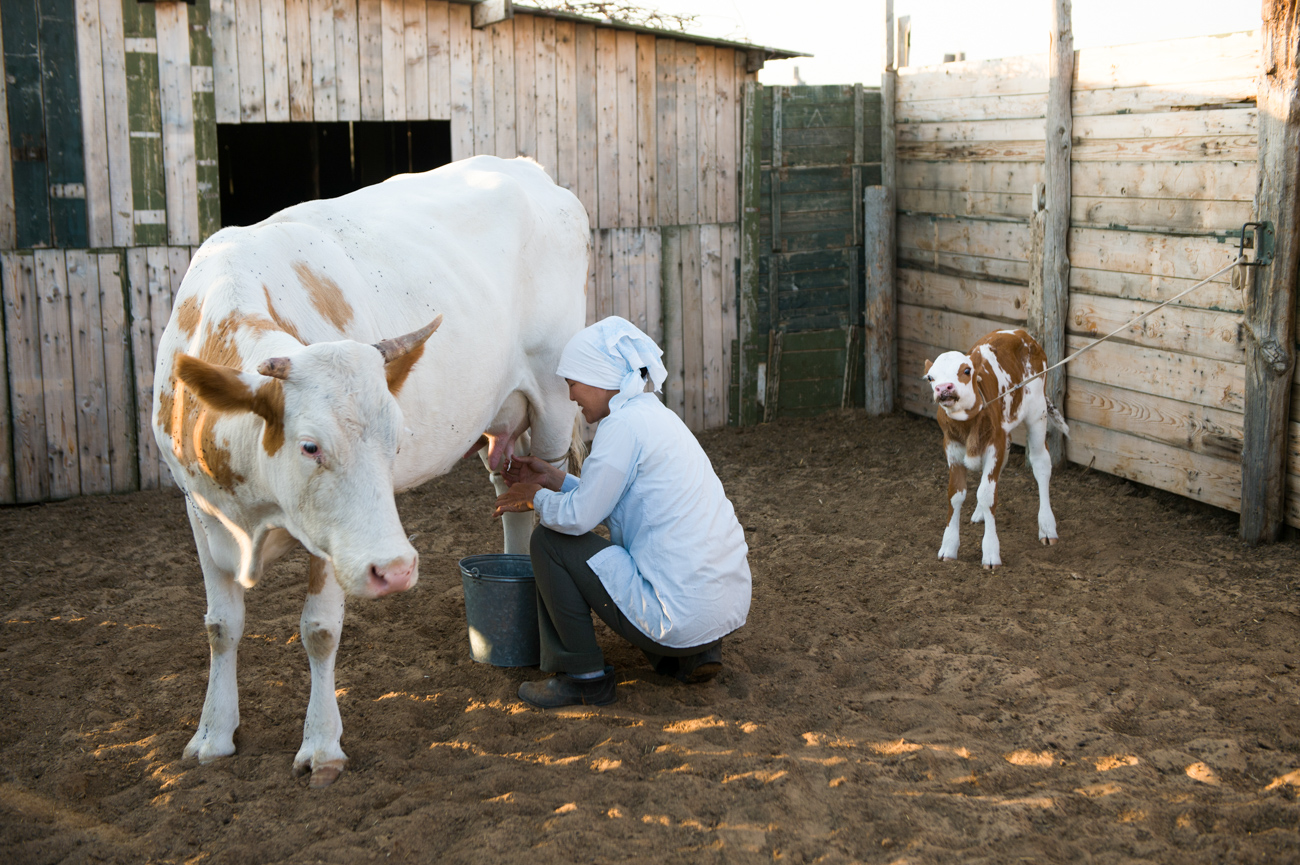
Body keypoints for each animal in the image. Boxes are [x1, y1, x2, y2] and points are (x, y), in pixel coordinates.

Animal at [150, 153, 590, 780]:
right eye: (309, 446)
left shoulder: (331, 538)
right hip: (501, 417)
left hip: (553, 398)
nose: (397, 569)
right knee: (514, 494)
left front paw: (321, 746)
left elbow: (319, 630)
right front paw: (212, 735)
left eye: (397, 440)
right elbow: (220, 625)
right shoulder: (200, 508)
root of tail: (524, 166)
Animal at [925, 329, 1066, 567]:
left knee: (1041, 464)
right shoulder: (951, 447)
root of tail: (1021, 333)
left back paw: (1047, 527)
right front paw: (949, 547)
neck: (968, 424)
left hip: (1037, 413)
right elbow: (955, 494)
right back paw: (980, 514)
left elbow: (987, 494)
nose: (943, 388)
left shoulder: (994, 443)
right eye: (930, 377)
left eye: (966, 370)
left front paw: (991, 552)